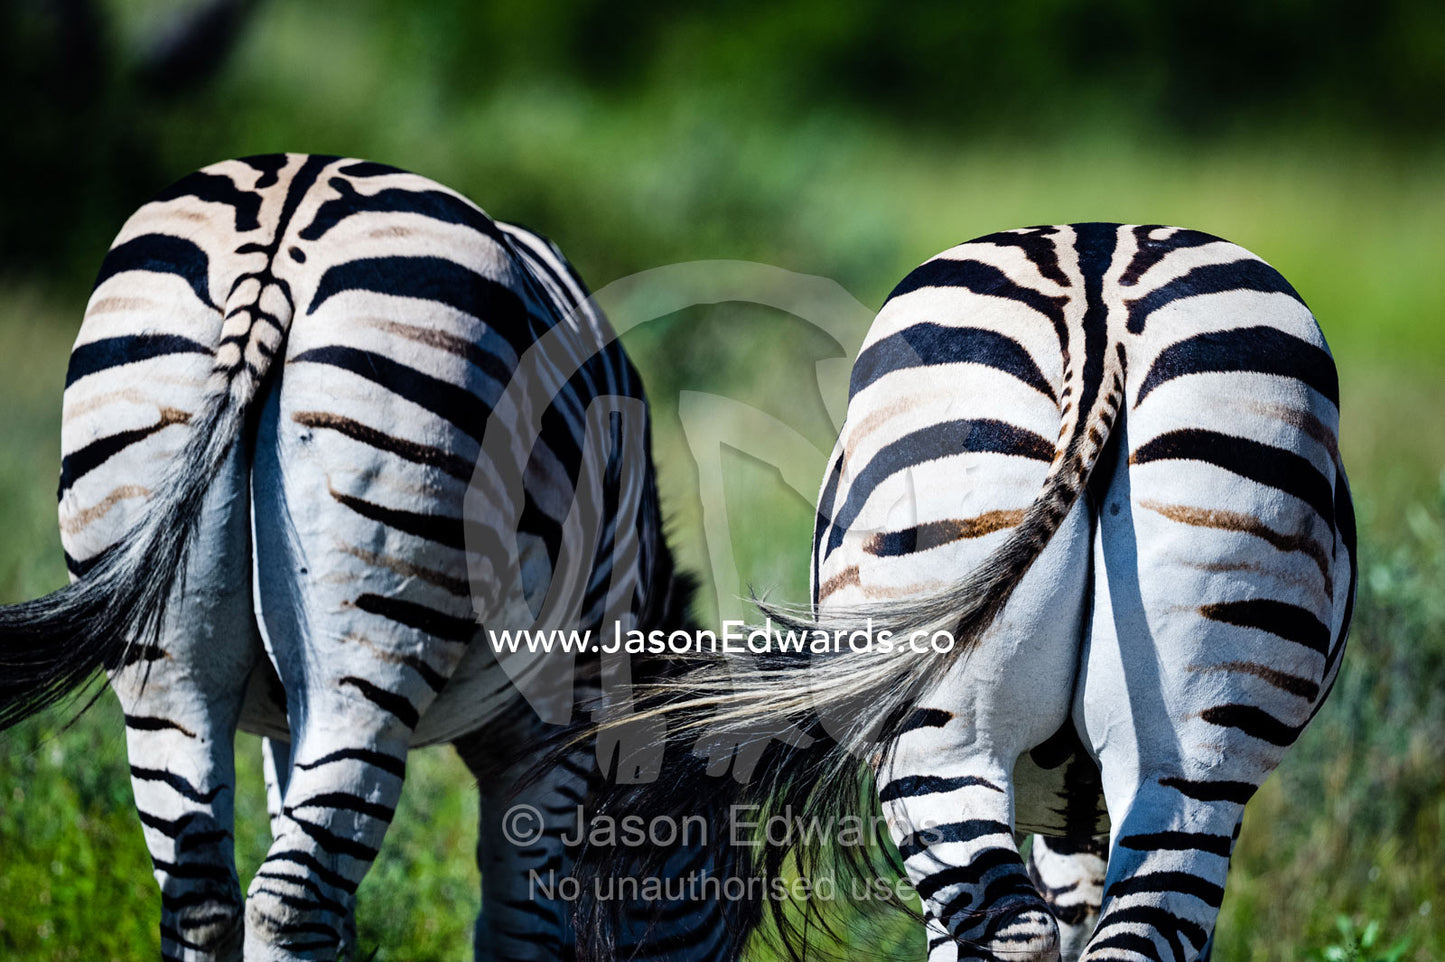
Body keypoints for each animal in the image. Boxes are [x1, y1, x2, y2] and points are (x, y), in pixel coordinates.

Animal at [0, 153, 705, 961]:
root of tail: (284, 220)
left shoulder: (283, 723)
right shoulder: (564, 713)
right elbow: (518, 928)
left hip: (162, 641)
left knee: (205, 895)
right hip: (375, 636)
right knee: (290, 899)